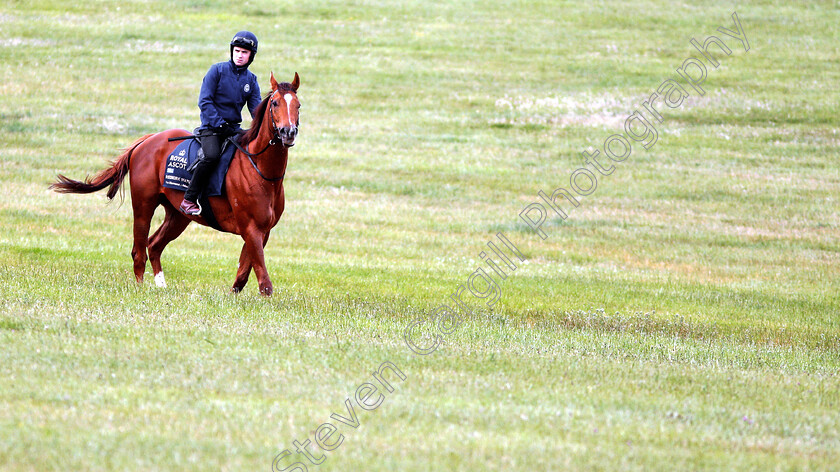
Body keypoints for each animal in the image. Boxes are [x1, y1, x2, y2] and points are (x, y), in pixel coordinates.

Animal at [50, 71, 300, 296]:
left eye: (298, 105)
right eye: (275, 103)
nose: (288, 132)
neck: (261, 171)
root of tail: (148, 140)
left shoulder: (262, 231)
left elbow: (245, 269)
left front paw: (235, 293)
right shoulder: (250, 228)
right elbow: (263, 278)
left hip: (178, 216)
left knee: (154, 245)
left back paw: (161, 285)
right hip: (144, 206)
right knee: (139, 250)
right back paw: (140, 287)